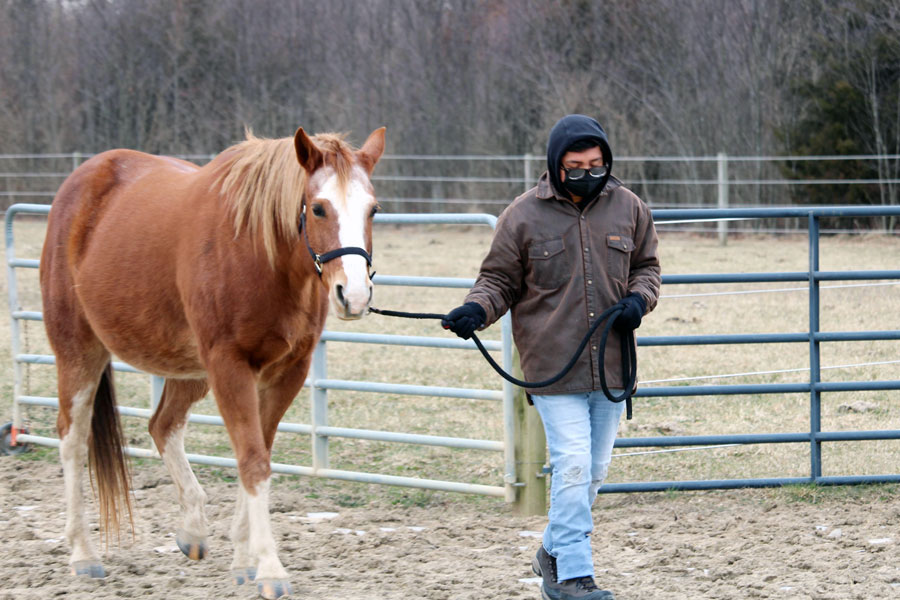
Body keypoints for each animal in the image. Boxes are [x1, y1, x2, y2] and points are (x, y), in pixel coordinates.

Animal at [40, 125, 384, 596]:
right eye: (318, 208)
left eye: (373, 210)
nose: (354, 296)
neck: (260, 254)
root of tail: (81, 183)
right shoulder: (230, 366)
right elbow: (253, 461)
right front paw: (270, 569)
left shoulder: (286, 373)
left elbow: (256, 454)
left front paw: (243, 562)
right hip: (79, 350)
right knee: (73, 441)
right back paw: (83, 554)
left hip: (190, 370)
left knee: (162, 425)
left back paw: (193, 531)